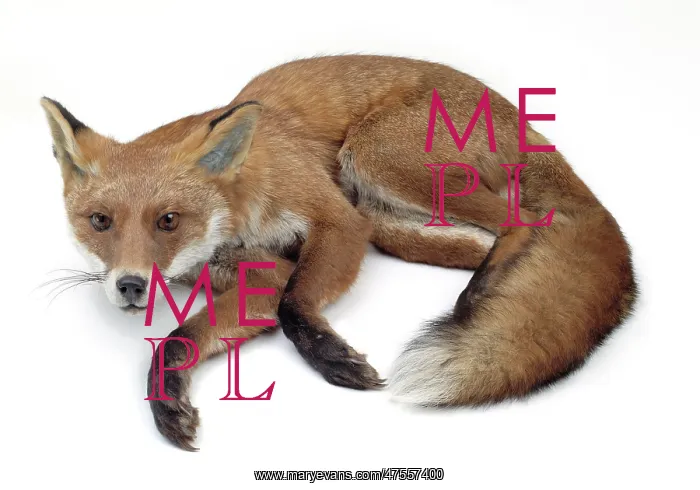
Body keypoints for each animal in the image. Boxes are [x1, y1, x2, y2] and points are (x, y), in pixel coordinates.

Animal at [41, 55, 637, 451]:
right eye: (100, 222)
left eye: (168, 221)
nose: (131, 285)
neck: (238, 211)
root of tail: (514, 111)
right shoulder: (264, 272)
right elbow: (180, 338)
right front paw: (167, 397)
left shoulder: (335, 221)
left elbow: (294, 306)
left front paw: (332, 358)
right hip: (385, 220)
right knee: (497, 239)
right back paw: (486, 290)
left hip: (373, 161)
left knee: (523, 222)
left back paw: (478, 299)